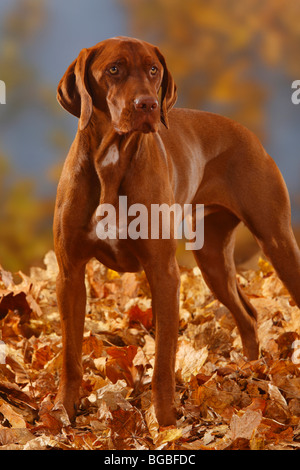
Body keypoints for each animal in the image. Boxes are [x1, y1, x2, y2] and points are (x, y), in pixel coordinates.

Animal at [54, 36, 300, 426]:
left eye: (154, 69)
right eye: (113, 69)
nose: (148, 105)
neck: (111, 160)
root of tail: (249, 133)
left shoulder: (163, 272)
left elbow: (164, 358)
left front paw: (167, 423)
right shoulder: (70, 273)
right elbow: (70, 357)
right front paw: (63, 413)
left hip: (276, 241)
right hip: (211, 259)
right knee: (248, 316)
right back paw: (251, 371)